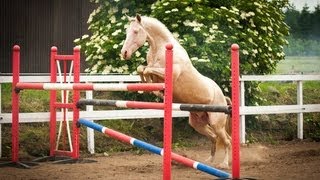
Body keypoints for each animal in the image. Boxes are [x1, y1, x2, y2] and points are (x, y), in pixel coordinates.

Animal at [121, 14, 231, 169]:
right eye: (126, 32)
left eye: (136, 31)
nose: (124, 53)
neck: (160, 48)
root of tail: (223, 97)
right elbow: (142, 69)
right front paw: (150, 86)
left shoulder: (169, 74)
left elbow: (148, 70)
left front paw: (156, 89)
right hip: (198, 123)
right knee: (214, 137)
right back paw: (209, 161)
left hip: (216, 122)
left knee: (226, 140)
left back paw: (224, 164)